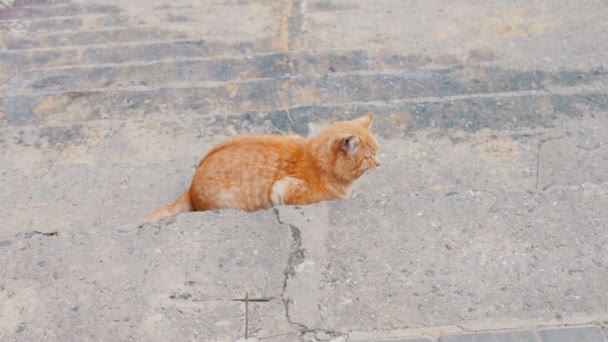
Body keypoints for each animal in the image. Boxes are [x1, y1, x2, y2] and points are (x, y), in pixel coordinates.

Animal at [142, 113, 380, 223]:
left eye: (377, 151)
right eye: (368, 157)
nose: (379, 163)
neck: (314, 159)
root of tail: (191, 187)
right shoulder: (282, 189)